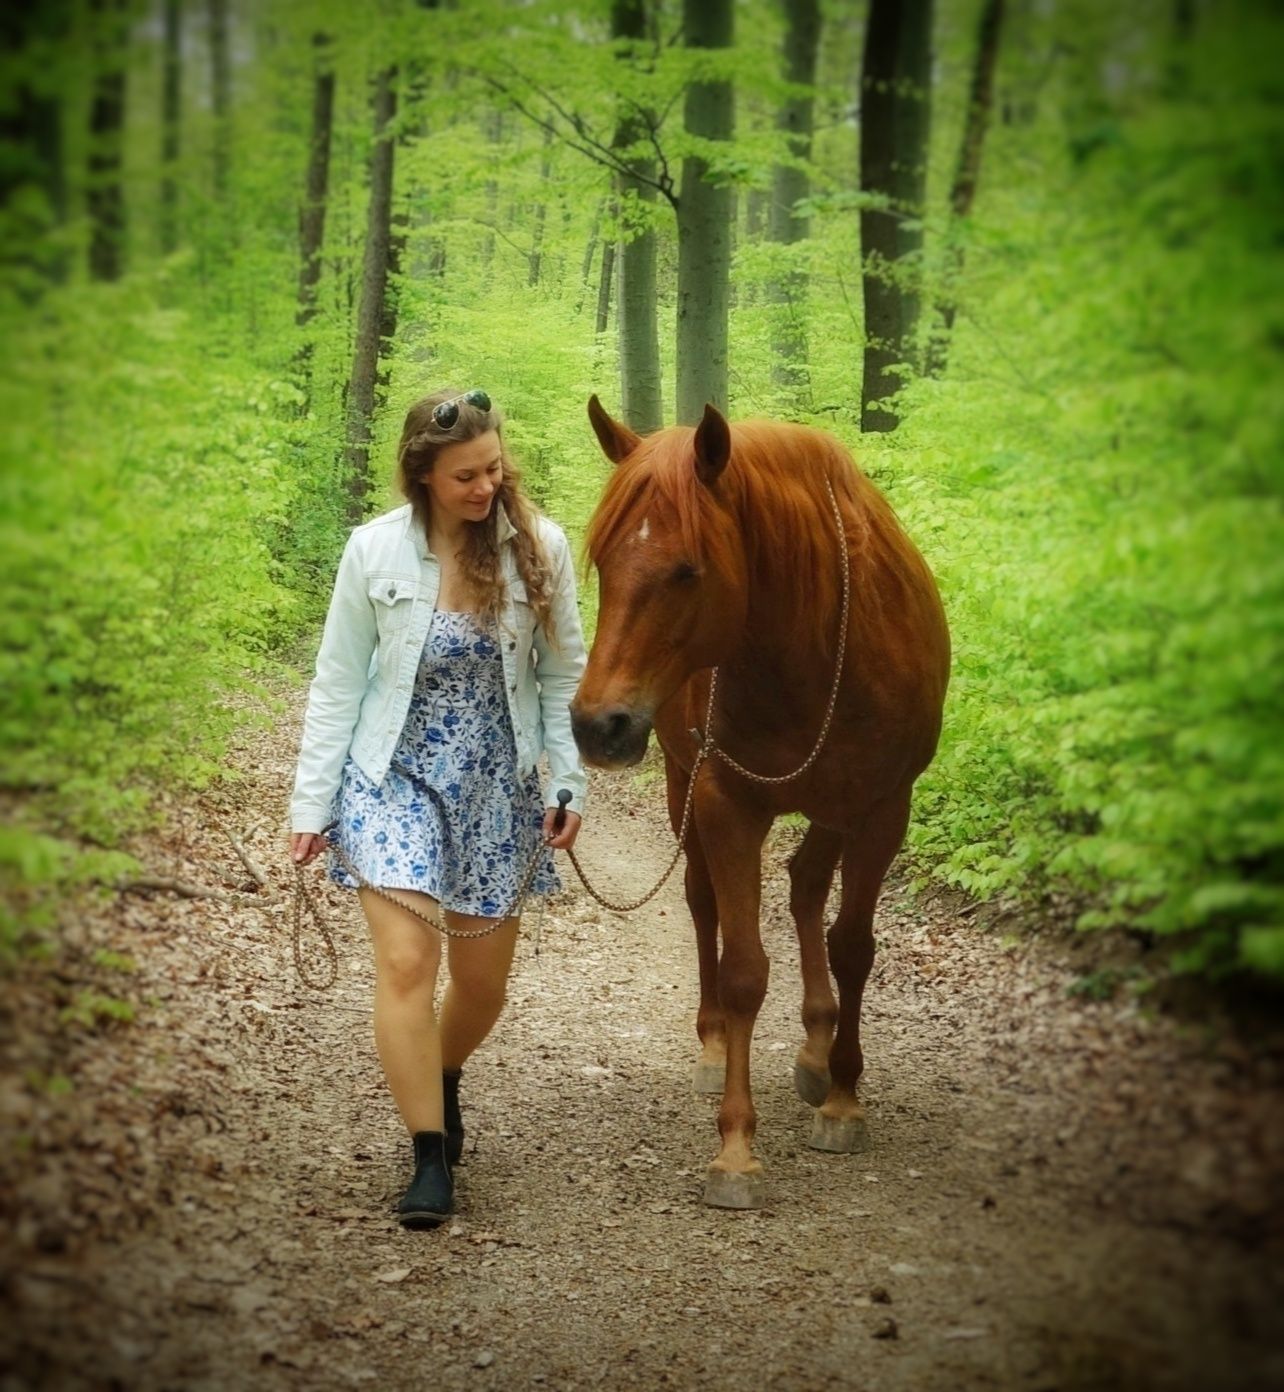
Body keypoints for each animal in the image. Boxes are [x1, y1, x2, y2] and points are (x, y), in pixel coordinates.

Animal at [570, 397, 951, 1210]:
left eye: (687, 571)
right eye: (604, 563)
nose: (597, 726)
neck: (809, 646)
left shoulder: (882, 808)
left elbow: (853, 945)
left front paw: (843, 1097)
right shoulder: (726, 803)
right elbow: (743, 966)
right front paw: (737, 1147)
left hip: (834, 805)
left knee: (807, 888)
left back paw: (817, 1049)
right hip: (684, 784)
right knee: (703, 901)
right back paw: (717, 1043)